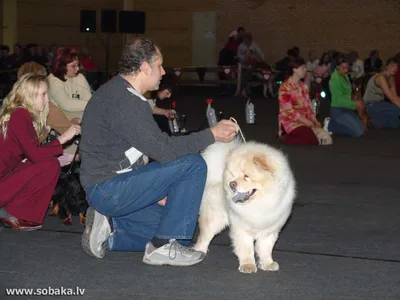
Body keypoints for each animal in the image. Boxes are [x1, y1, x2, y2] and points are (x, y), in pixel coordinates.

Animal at [195, 139, 296, 274]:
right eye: (232, 174)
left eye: (246, 176)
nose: (231, 184)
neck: (260, 204)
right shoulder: (241, 230)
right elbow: (246, 249)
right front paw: (248, 266)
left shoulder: (269, 230)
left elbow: (265, 249)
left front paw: (267, 264)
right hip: (215, 218)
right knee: (204, 237)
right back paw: (199, 252)